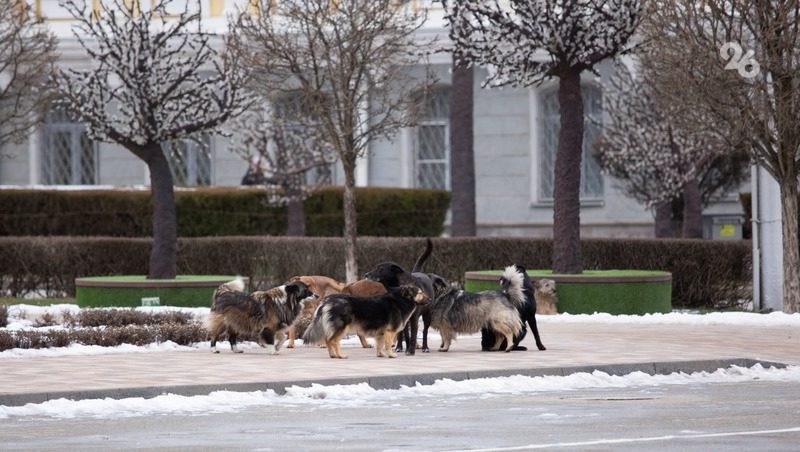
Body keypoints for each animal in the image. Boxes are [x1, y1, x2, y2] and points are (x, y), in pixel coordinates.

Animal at [300, 286, 428, 360]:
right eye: (420, 293)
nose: (430, 299)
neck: (402, 299)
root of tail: (327, 300)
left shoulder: (381, 332)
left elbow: (380, 344)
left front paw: (380, 354)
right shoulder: (390, 331)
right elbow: (387, 344)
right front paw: (391, 355)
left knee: (327, 340)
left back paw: (333, 355)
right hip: (343, 328)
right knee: (333, 341)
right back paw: (340, 355)